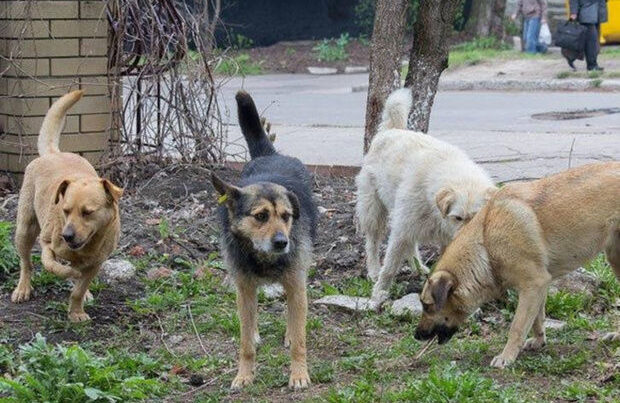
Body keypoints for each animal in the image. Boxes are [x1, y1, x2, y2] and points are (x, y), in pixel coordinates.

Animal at [11, 90, 122, 324]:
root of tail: (54, 153)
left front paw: (77, 311)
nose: (67, 235)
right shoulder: (46, 244)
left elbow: (79, 289)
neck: (86, 246)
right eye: (65, 210)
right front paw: (68, 273)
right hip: (25, 229)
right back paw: (23, 288)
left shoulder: (96, 262)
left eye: (88, 213)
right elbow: (53, 265)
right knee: (26, 263)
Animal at [213, 91, 320, 392]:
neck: (263, 257)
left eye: (286, 216)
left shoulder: (296, 284)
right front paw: (244, 375)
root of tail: (270, 155)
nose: (283, 242)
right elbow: (245, 342)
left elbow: (300, 340)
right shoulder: (245, 288)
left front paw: (299, 374)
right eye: (260, 216)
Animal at [356, 88, 496, 308]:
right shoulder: (402, 229)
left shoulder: (444, 238)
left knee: (410, 245)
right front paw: (378, 294)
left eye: (476, 217)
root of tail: (391, 130)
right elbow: (390, 267)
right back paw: (373, 270)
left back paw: (418, 268)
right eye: (458, 218)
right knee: (372, 242)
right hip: (374, 210)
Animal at [414, 163, 620, 370]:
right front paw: (539, 341)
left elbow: (517, 326)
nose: (416, 335)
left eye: (427, 305)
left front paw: (507, 356)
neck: (486, 242)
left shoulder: (533, 285)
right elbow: (537, 320)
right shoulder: (538, 288)